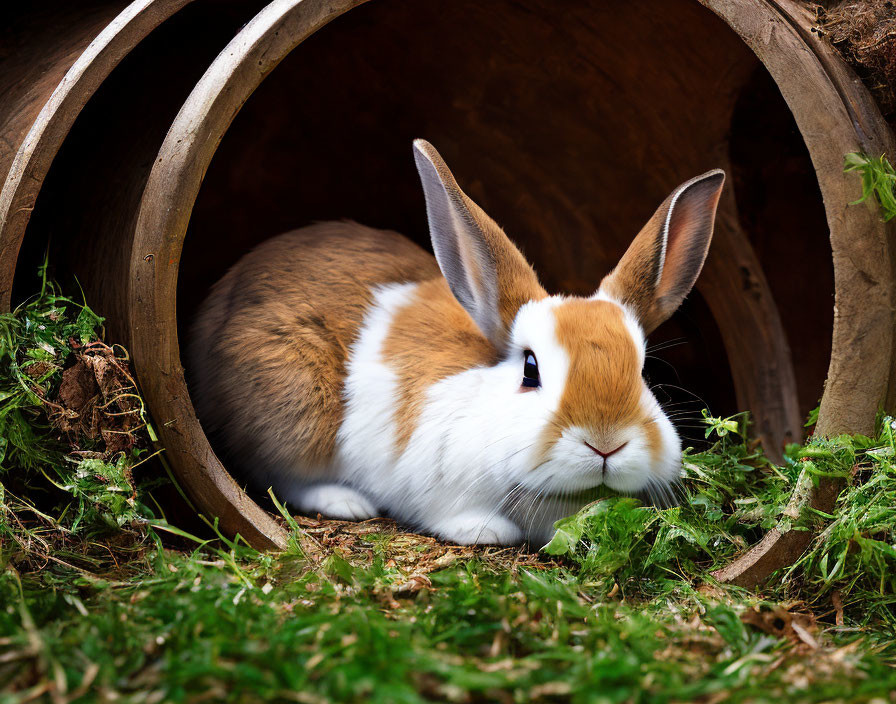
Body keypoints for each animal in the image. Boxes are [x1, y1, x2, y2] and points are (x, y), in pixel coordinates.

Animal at [187, 140, 720, 548]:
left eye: (644, 372)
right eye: (530, 370)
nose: (605, 443)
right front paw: (488, 532)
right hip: (292, 413)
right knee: (281, 474)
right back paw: (346, 502)